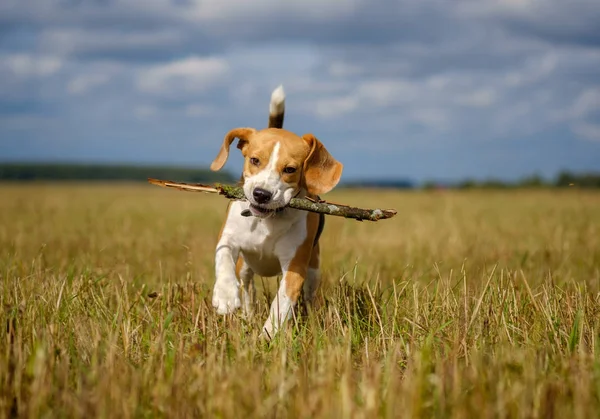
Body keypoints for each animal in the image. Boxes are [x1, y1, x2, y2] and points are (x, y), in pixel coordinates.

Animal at [210, 85, 342, 338]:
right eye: (254, 160)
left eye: (290, 169)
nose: (261, 194)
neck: (267, 220)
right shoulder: (228, 237)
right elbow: (223, 258)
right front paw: (225, 295)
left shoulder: (295, 266)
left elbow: (281, 304)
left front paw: (267, 336)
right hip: (245, 267)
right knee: (248, 290)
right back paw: (246, 316)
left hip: (314, 269)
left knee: (309, 297)